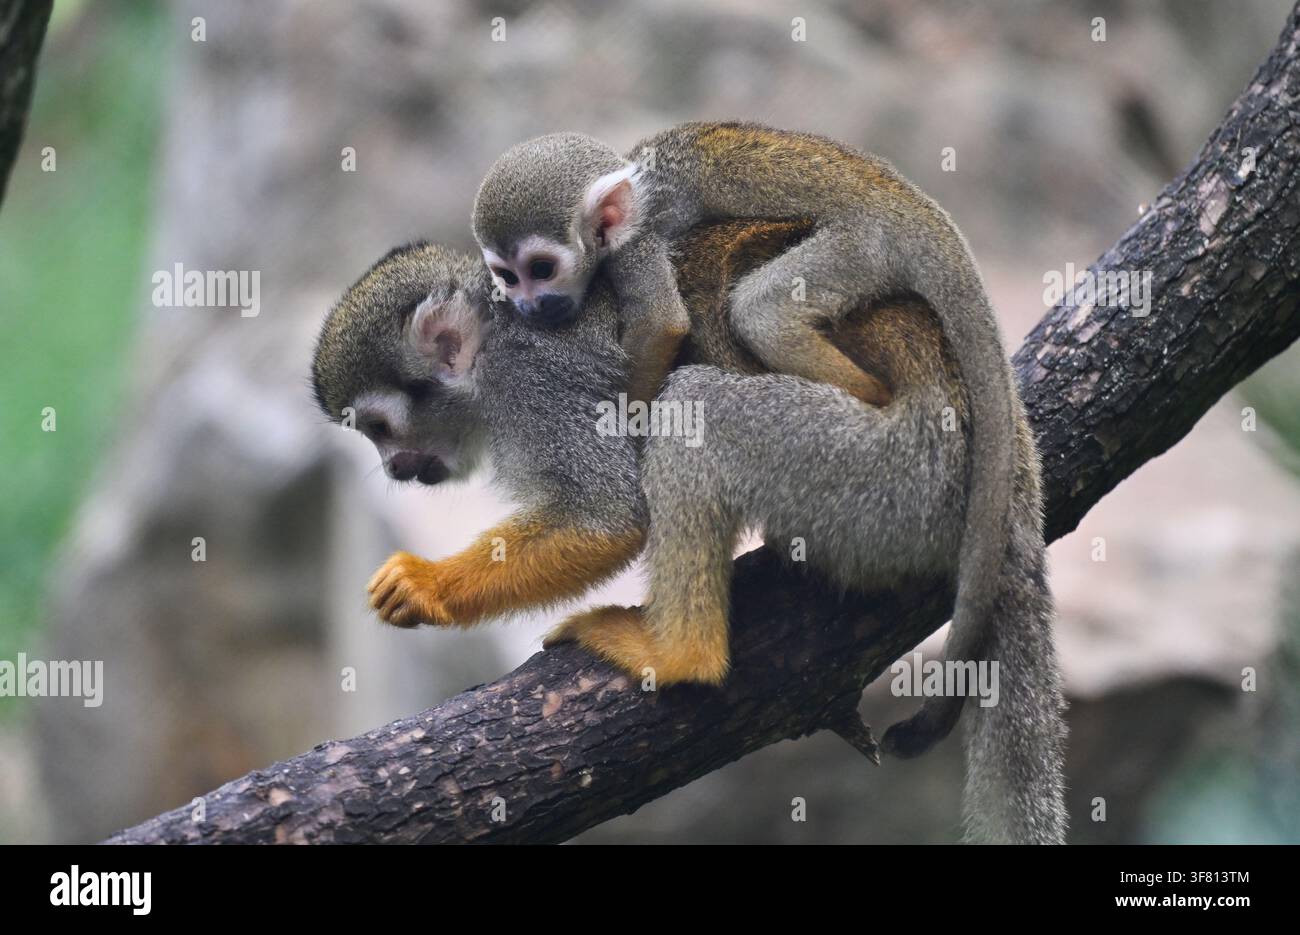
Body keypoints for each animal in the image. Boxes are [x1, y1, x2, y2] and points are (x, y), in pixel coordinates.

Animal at [312, 219, 1067, 843]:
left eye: (378, 427)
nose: (395, 467)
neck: (491, 354)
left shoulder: (536, 389)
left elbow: (610, 517)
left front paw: (427, 585)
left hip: (893, 473)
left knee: (694, 408)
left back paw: (681, 654)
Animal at [471, 121, 1030, 765]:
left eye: (540, 267)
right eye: (507, 275)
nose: (526, 304)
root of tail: (923, 215)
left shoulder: (635, 247)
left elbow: (662, 322)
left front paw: (626, 415)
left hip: (859, 250)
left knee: (761, 311)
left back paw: (861, 391)